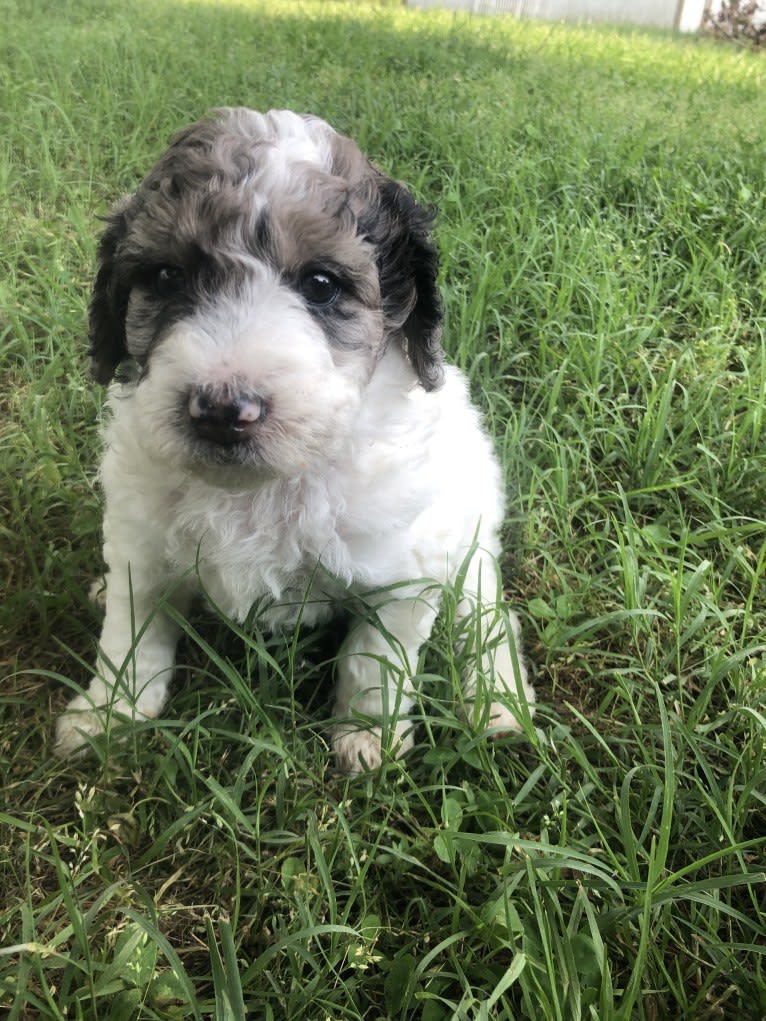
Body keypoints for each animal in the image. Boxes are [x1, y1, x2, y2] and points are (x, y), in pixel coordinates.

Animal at [55, 107, 535, 767]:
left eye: (322, 284)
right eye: (166, 276)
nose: (221, 410)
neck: (259, 488)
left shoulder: (404, 574)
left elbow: (376, 661)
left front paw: (368, 736)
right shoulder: (141, 546)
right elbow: (131, 636)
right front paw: (108, 714)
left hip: (470, 524)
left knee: (484, 608)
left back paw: (497, 699)